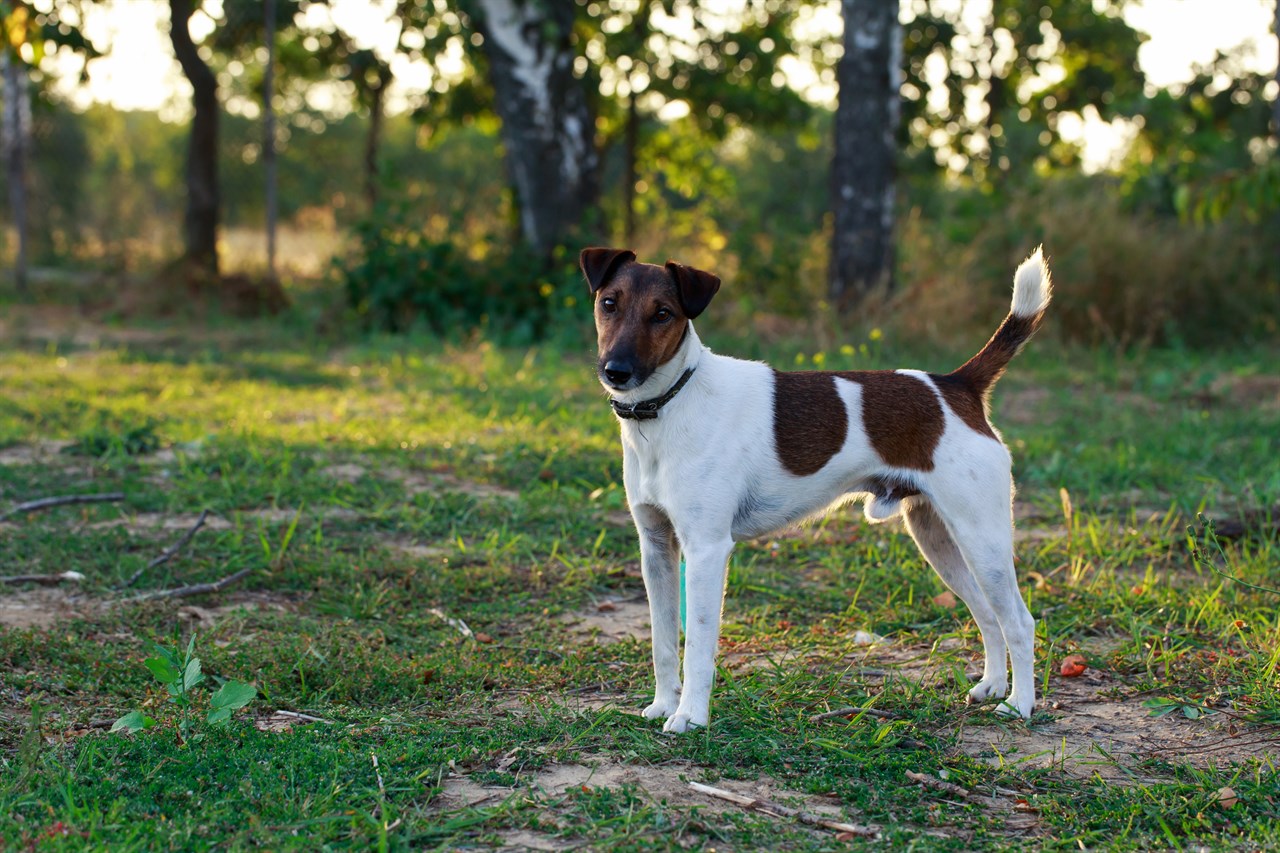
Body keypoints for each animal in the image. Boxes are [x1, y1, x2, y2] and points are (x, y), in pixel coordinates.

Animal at [581, 245, 1049, 732]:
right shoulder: (656, 548)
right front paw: (663, 705)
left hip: (982, 539)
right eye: (609, 304)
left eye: (663, 314)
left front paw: (691, 716)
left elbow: (697, 648)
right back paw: (993, 685)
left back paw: (1020, 704)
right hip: (938, 540)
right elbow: (663, 642)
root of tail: (957, 384)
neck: (672, 402)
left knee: (1019, 621)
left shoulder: (706, 550)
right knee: (987, 614)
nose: (617, 371)